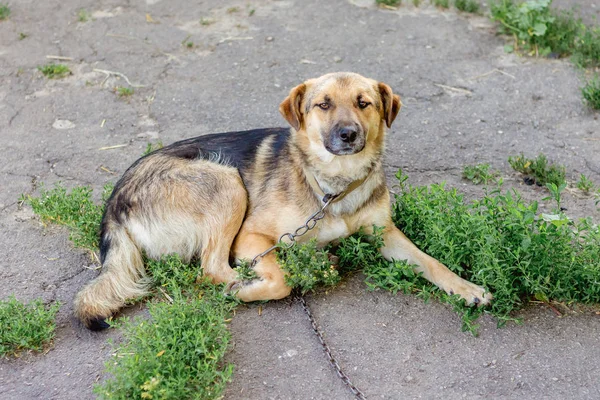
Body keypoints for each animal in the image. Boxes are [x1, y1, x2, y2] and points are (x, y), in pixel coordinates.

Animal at [74, 72, 492, 332]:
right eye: (323, 104)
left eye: (364, 103)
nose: (348, 134)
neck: (332, 186)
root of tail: (114, 204)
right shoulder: (251, 237)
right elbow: (281, 281)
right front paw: (258, 285)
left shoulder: (384, 233)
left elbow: (431, 261)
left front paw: (467, 288)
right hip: (227, 183)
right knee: (212, 267)